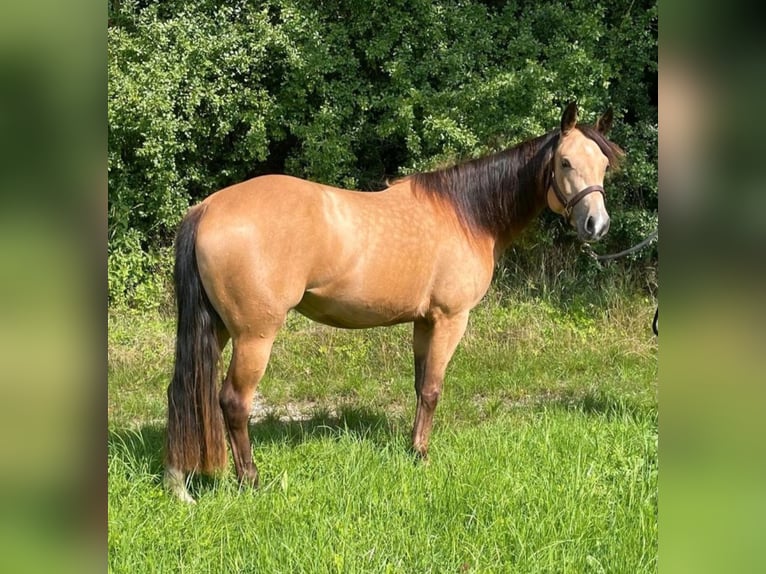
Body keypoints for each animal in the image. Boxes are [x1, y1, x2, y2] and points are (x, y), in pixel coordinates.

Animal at [164, 102, 624, 502]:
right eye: (565, 163)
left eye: (604, 165)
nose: (596, 225)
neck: (467, 215)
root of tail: (207, 209)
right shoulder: (451, 319)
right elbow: (434, 389)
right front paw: (423, 455)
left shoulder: (424, 321)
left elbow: (421, 387)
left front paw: (413, 448)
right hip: (254, 336)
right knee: (233, 402)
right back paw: (250, 480)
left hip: (220, 328)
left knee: (183, 392)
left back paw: (178, 482)